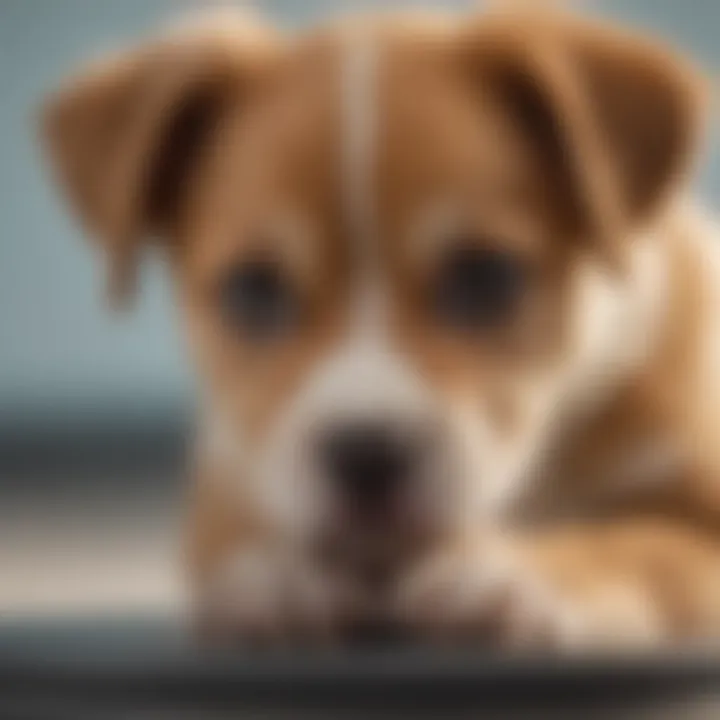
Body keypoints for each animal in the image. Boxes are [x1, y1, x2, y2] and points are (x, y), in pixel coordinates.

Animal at [42, 4, 720, 648]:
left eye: (485, 276)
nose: (367, 454)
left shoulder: (698, 511)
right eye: (254, 289)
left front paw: (517, 574)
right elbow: (248, 536)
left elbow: (641, 546)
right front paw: (284, 574)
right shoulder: (231, 476)